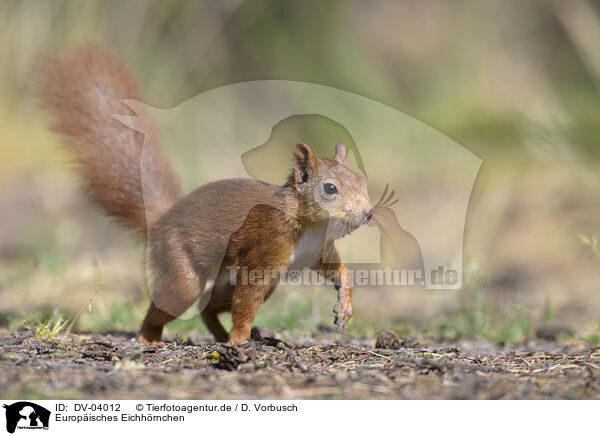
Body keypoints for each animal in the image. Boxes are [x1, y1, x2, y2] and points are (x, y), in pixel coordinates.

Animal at [35, 45, 372, 344]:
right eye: (330, 188)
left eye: (362, 181)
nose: (368, 213)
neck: (312, 227)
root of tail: (161, 219)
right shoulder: (267, 246)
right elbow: (247, 301)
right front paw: (240, 339)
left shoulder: (316, 251)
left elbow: (338, 270)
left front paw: (345, 305)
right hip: (180, 266)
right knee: (177, 301)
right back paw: (150, 338)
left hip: (228, 278)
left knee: (207, 306)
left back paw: (219, 335)